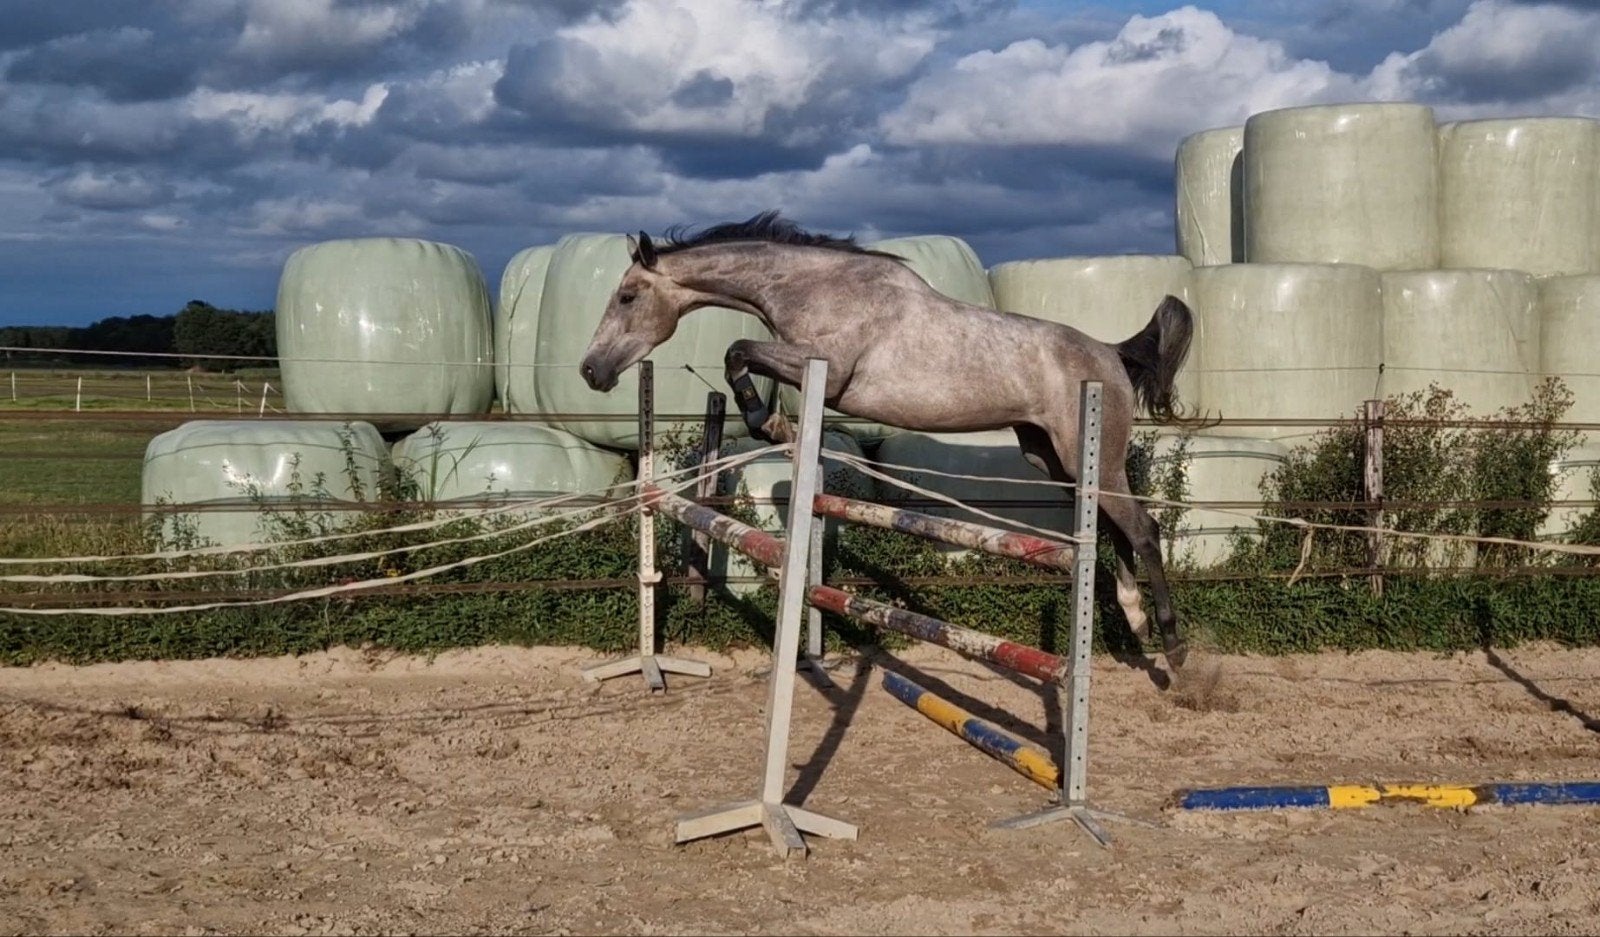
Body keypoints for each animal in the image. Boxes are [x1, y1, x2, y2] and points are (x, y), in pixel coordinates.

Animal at [579, 211, 1199, 669]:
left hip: (1087, 455)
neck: (812, 286)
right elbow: (741, 359)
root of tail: (1111, 354)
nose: (591, 371)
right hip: (1056, 460)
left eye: (628, 297)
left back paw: (1174, 649)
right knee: (1117, 529)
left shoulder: (823, 366)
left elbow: (737, 352)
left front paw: (771, 425)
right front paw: (776, 427)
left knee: (1143, 528)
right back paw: (1136, 619)